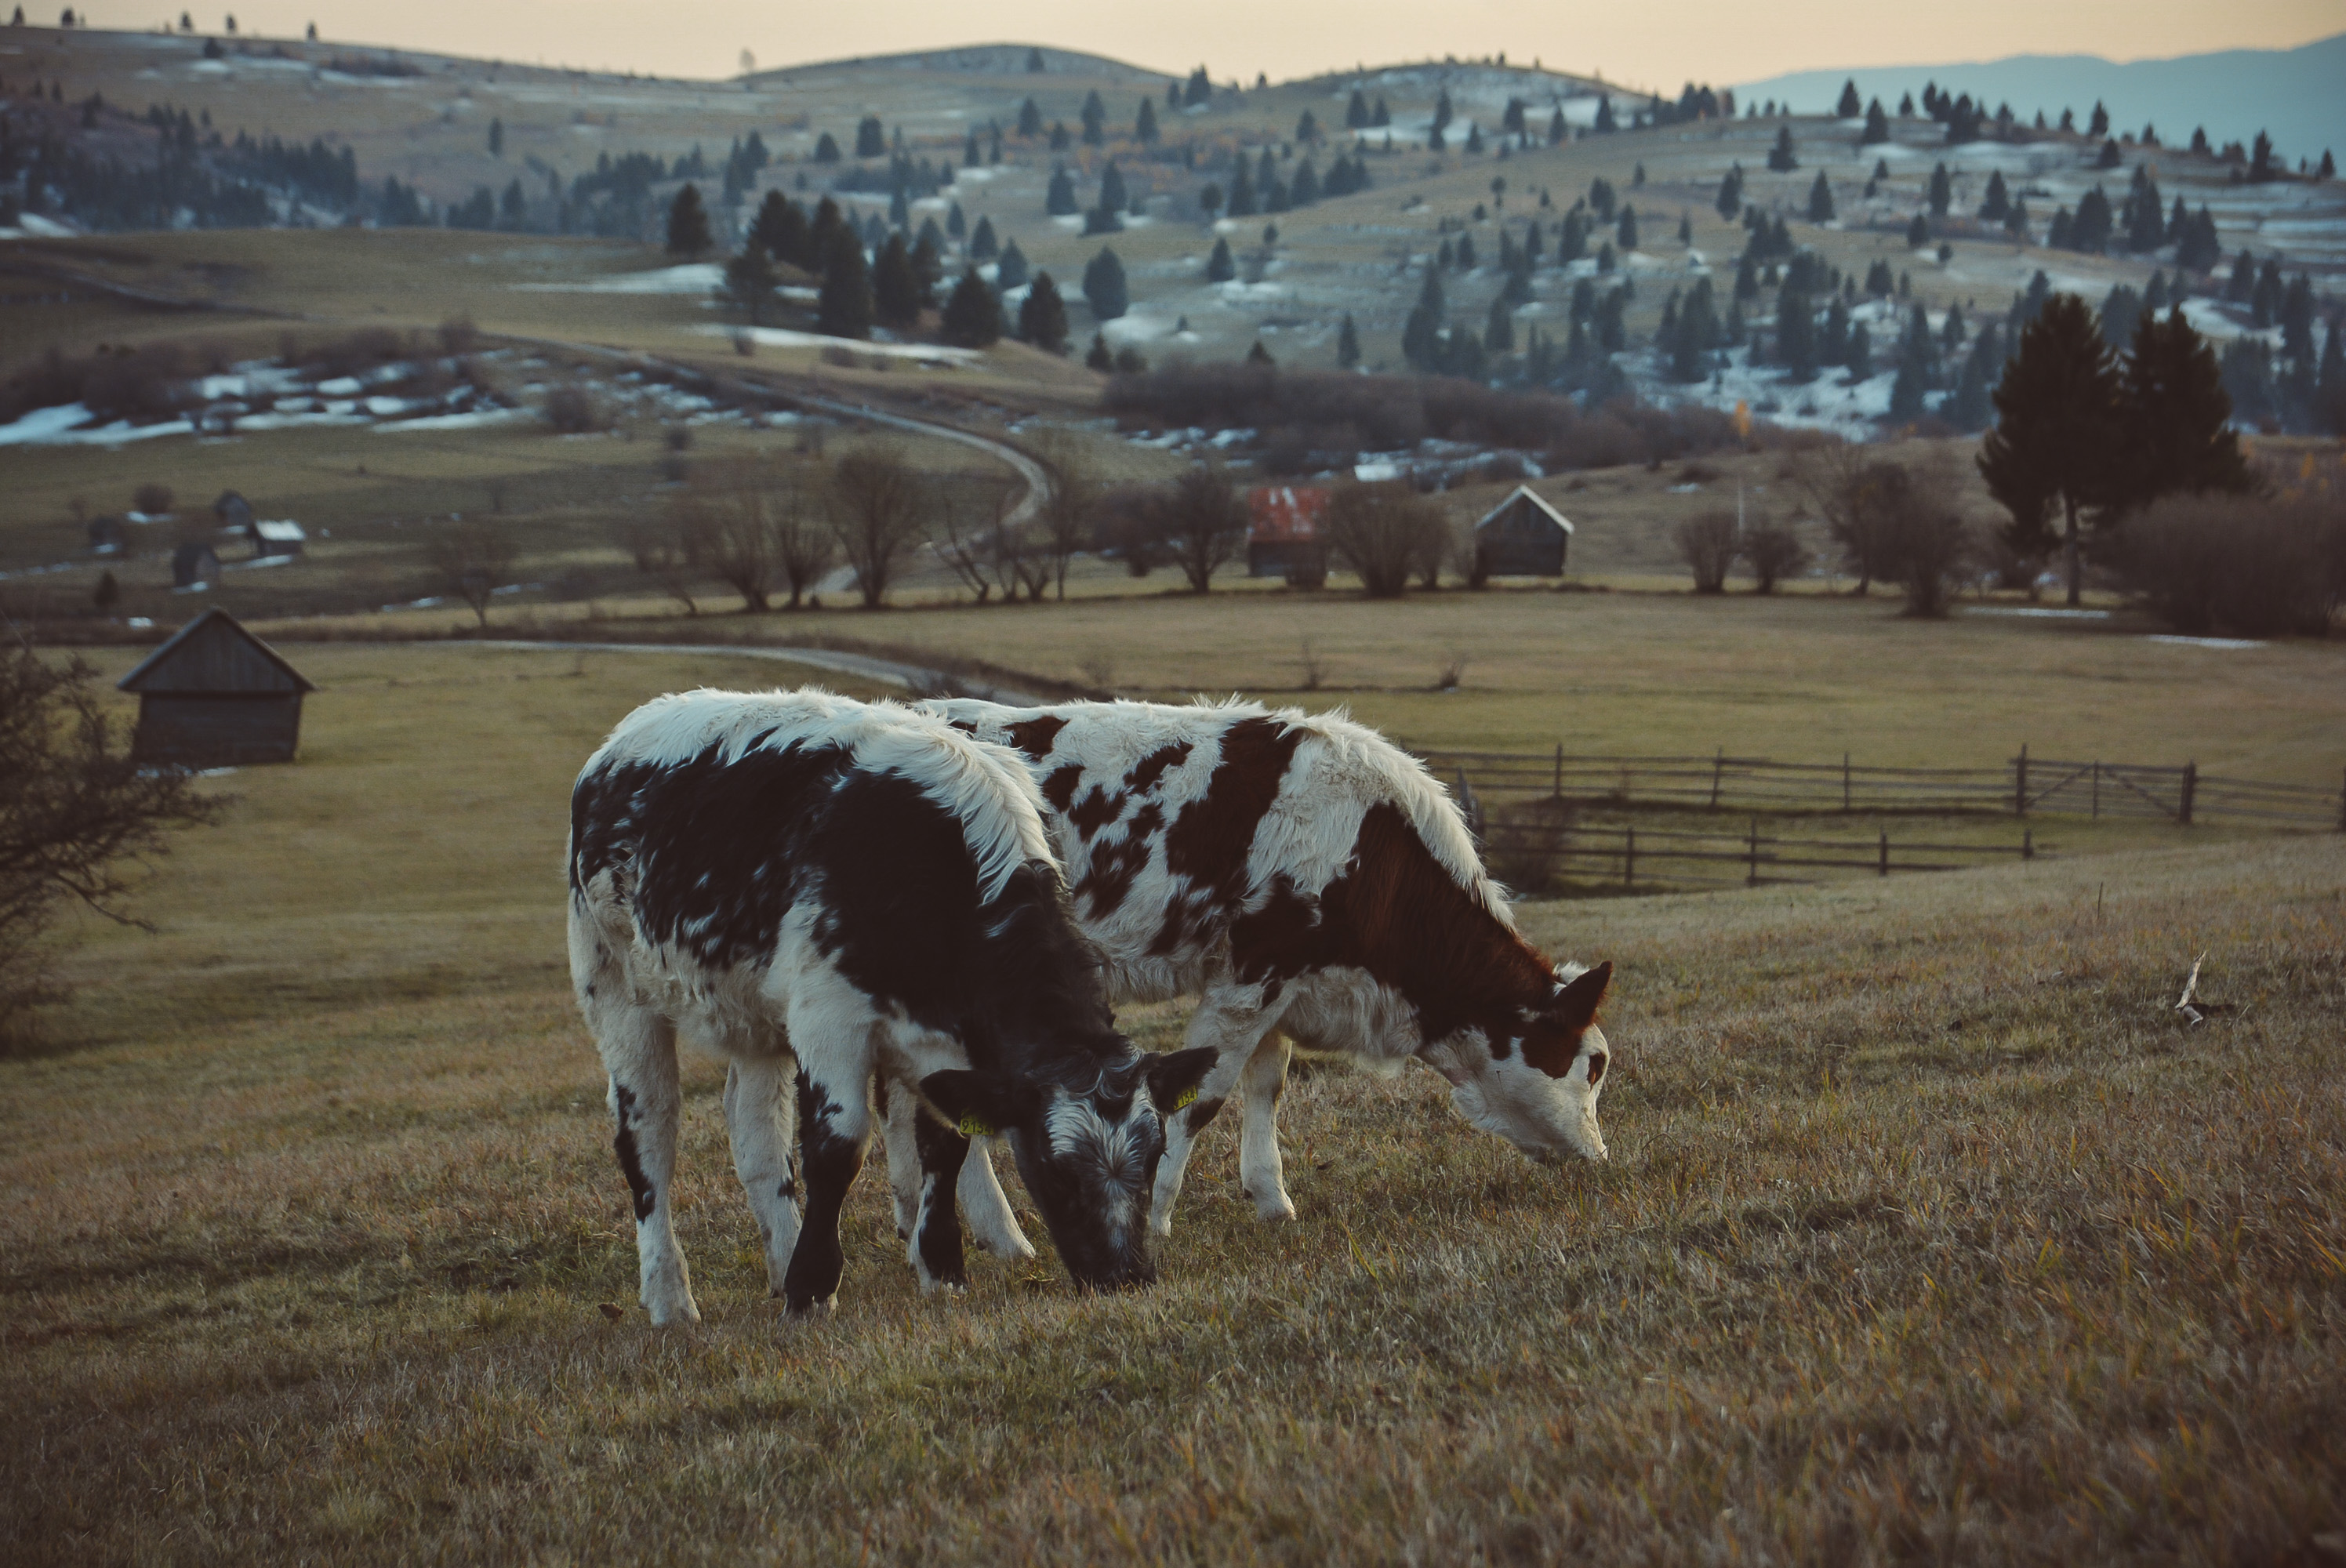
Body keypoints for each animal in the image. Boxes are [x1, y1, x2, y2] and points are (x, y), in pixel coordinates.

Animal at [572, 690, 1210, 1314]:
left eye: (1154, 1156)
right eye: (1057, 1171)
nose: (1125, 1278)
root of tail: (623, 738)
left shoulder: (944, 1041)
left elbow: (946, 1144)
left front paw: (943, 1269)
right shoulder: (827, 1022)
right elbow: (838, 1148)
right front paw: (812, 1287)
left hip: (752, 1019)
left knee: (755, 1134)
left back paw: (778, 1261)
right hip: (615, 990)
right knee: (648, 1134)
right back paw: (670, 1298)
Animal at [914, 699, 1614, 1239]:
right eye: (1593, 1065)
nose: (1600, 1157)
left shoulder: (1283, 985)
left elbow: (1267, 1083)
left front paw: (1272, 1200)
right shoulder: (1253, 976)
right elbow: (1201, 1099)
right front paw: (1158, 1218)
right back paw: (998, 1232)